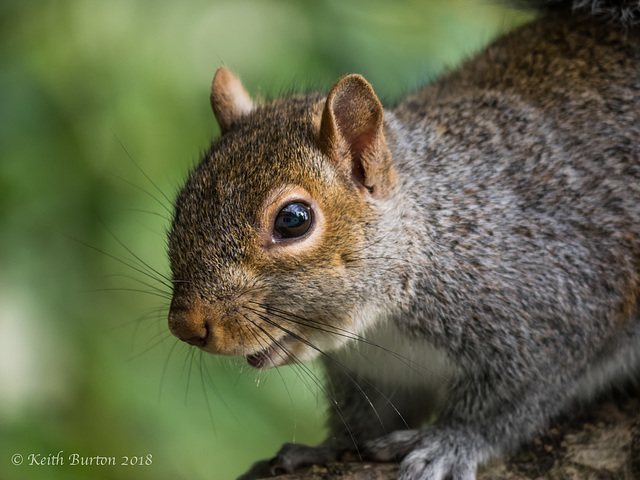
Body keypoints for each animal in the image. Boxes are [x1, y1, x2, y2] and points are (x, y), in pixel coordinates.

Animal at [166, 0, 640, 480]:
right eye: (183, 201)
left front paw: (450, 441)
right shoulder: (375, 374)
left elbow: (508, 407)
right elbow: (368, 417)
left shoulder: (555, 314)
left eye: (293, 220)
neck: (383, 324)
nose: (185, 325)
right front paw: (331, 447)